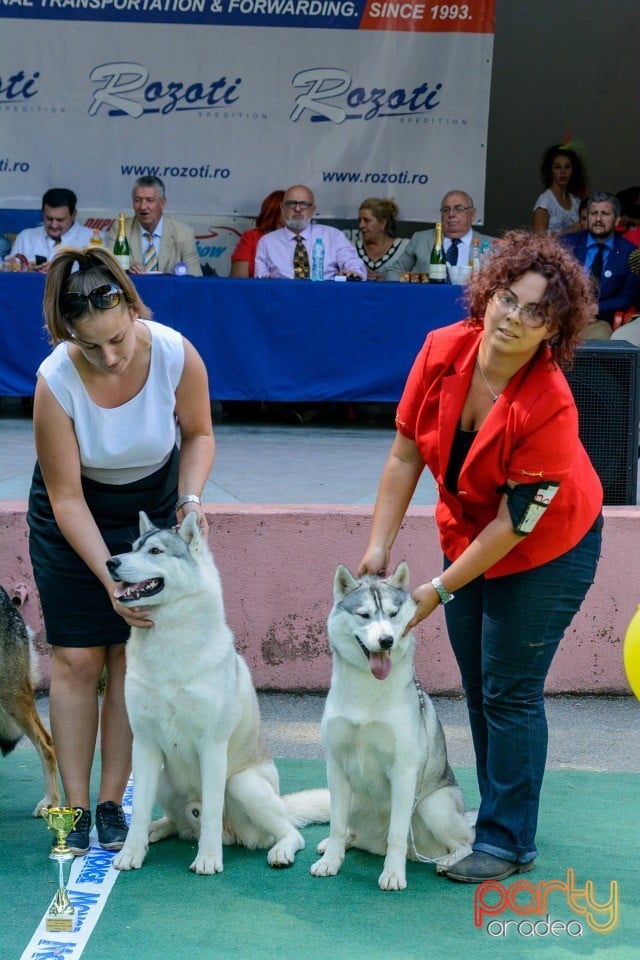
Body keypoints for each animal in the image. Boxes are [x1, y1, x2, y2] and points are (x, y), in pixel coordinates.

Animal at [107, 512, 328, 872]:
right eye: (133, 548)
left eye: (155, 551)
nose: (110, 562)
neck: (170, 642)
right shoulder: (144, 745)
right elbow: (138, 809)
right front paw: (131, 851)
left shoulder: (211, 747)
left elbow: (211, 810)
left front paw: (208, 859)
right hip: (164, 779)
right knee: (178, 823)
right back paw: (158, 829)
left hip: (242, 785)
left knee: (290, 832)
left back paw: (279, 850)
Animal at [312, 564, 472, 892]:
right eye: (364, 615)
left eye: (393, 613)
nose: (386, 640)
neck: (368, 690)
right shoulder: (336, 767)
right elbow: (336, 826)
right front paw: (331, 861)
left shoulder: (403, 772)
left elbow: (397, 834)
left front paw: (394, 874)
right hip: (352, 799)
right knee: (348, 830)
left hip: (431, 806)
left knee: (467, 842)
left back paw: (449, 861)